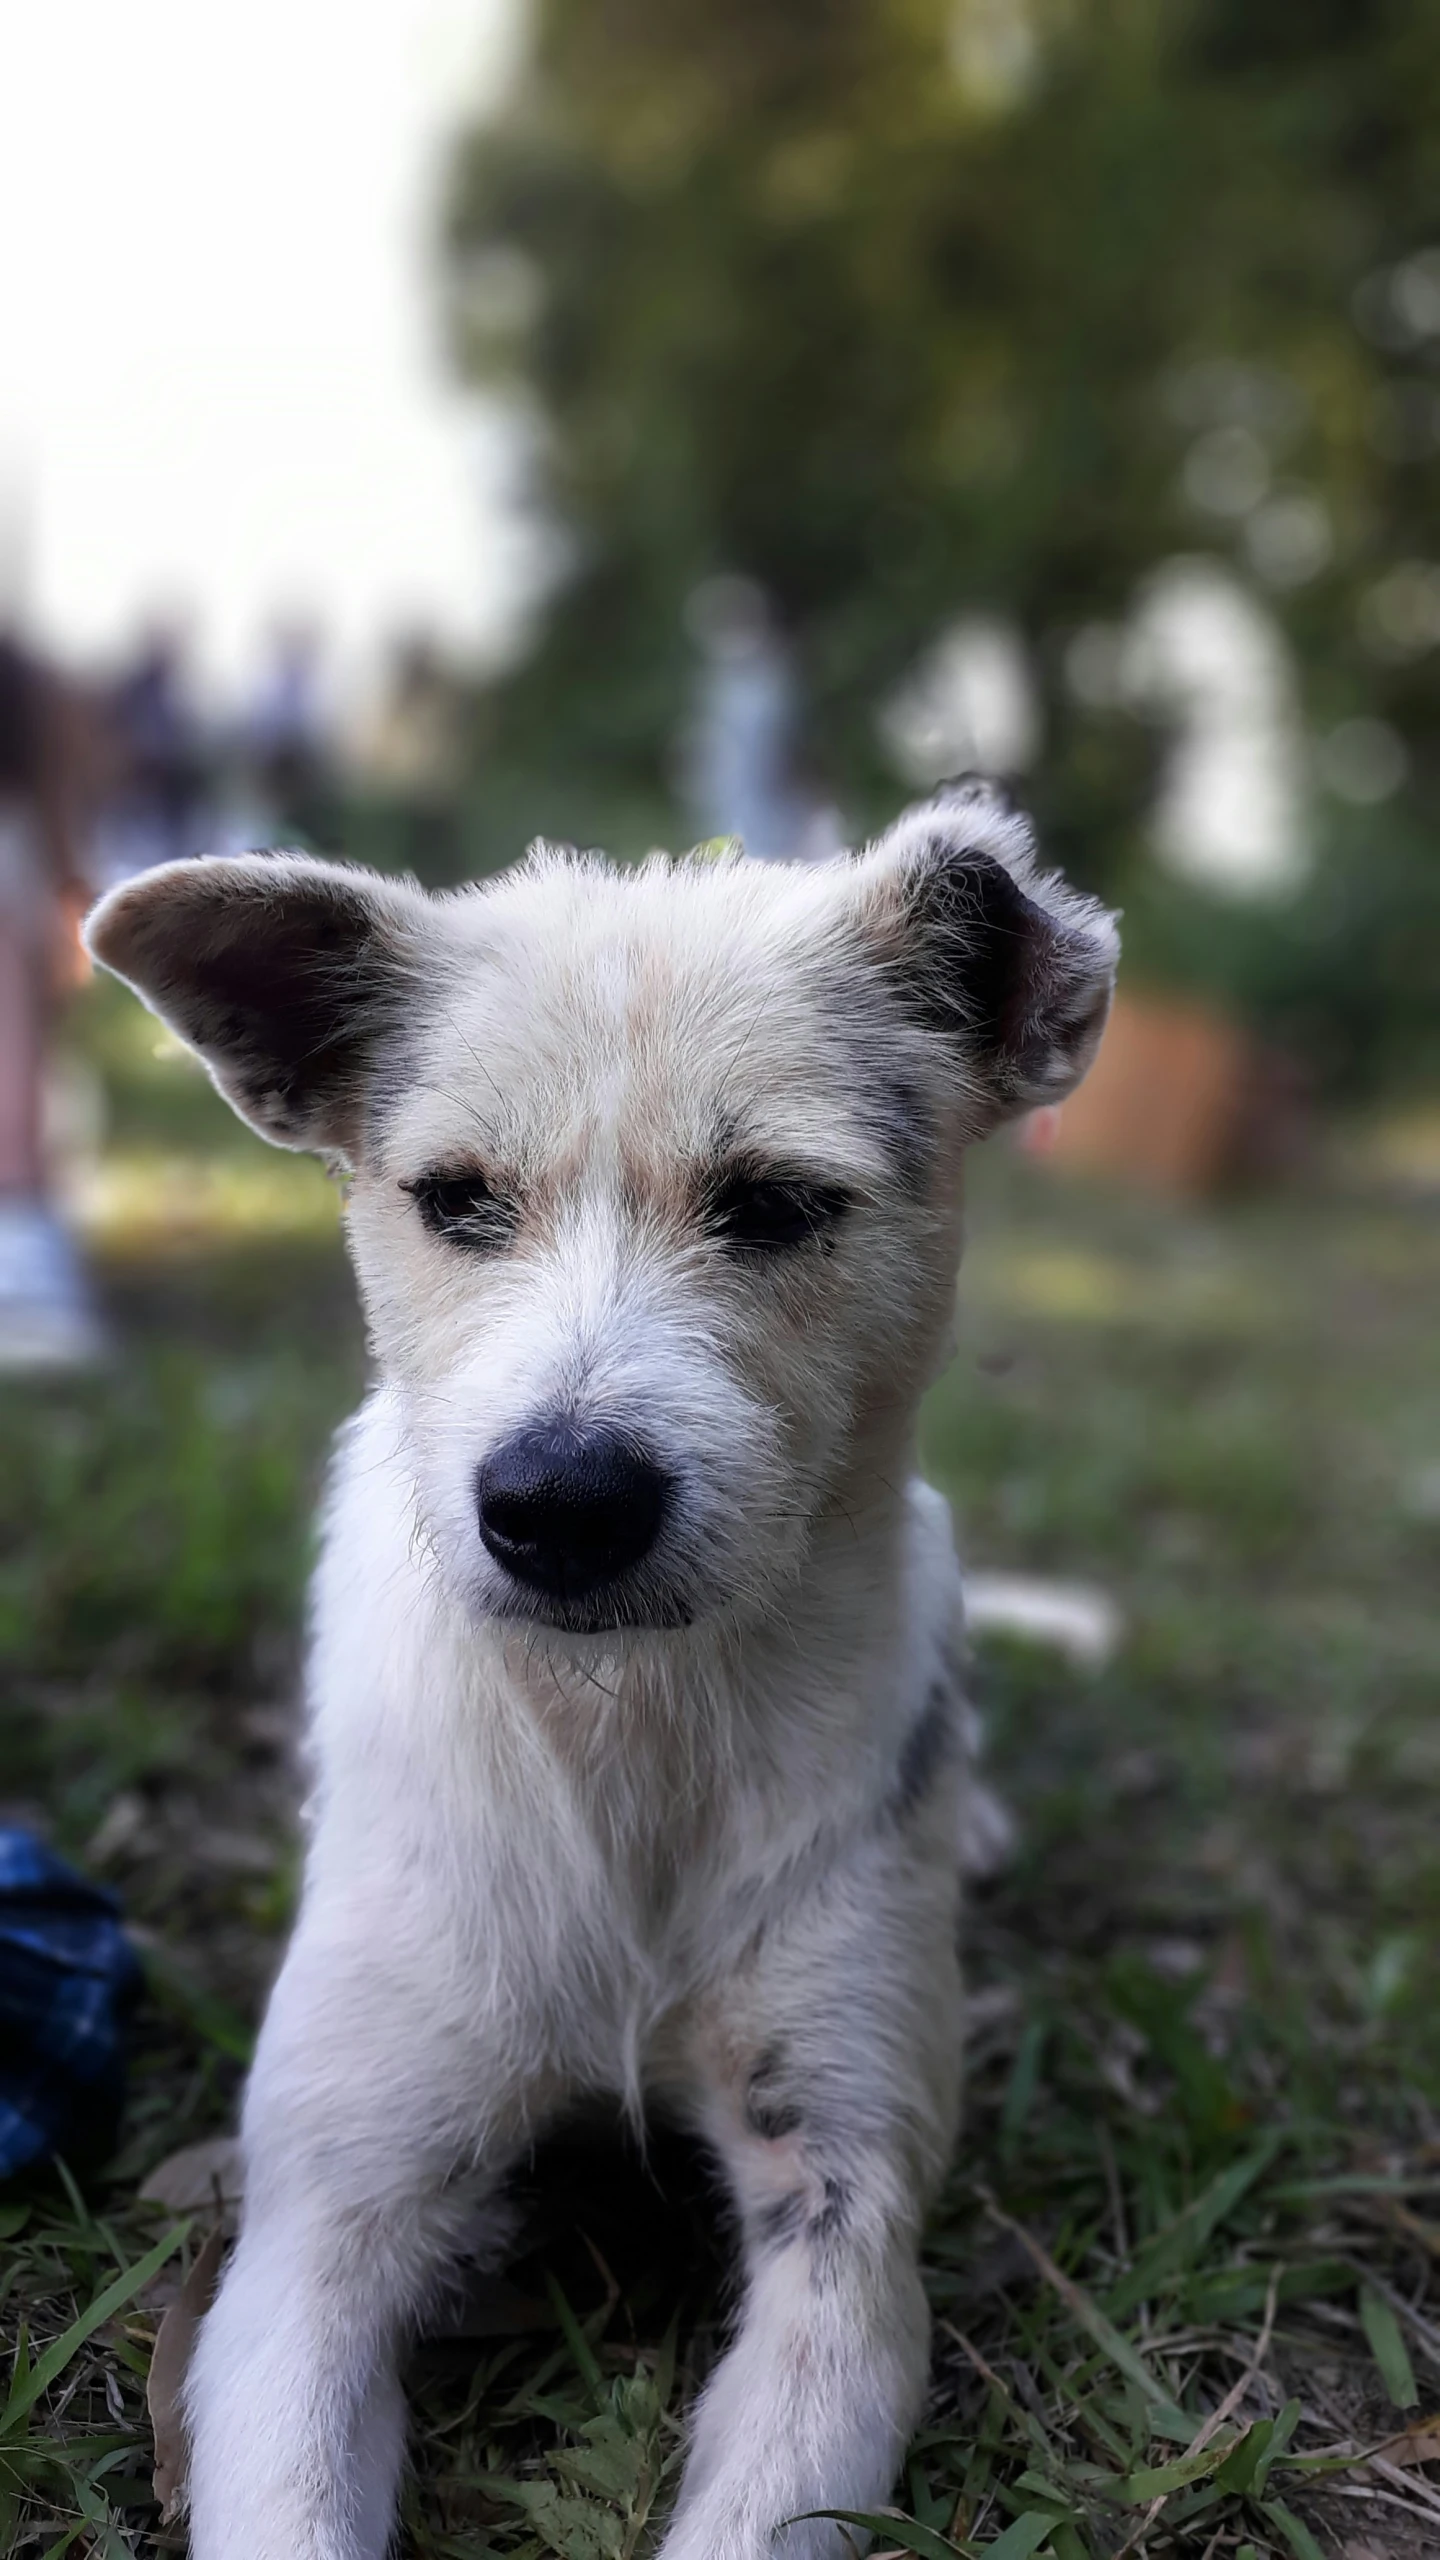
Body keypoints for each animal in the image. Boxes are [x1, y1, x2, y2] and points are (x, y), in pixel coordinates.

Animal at [87, 783, 1112, 2560]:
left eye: (775, 1204)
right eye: (454, 1199)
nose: (560, 1507)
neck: (633, 1729)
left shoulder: (844, 2214)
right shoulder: (318, 2224)